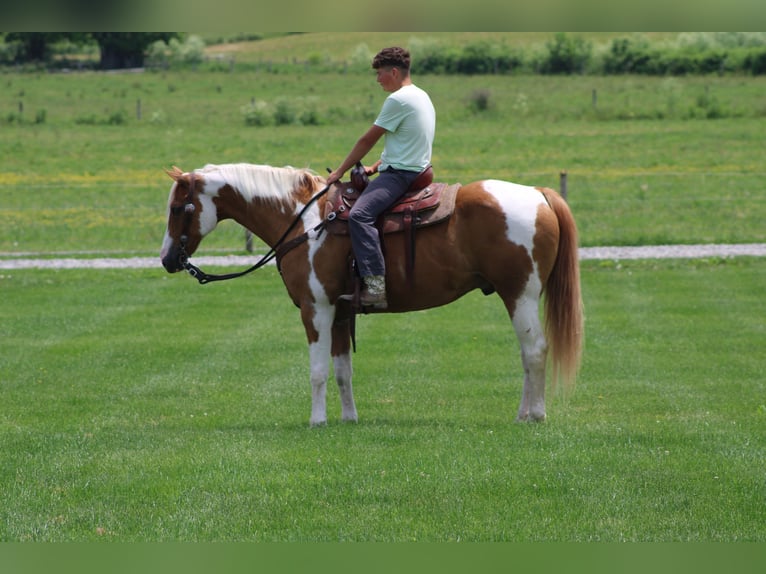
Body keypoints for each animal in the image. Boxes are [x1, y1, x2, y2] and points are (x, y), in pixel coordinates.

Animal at [160, 163, 583, 426]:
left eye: (180, 207)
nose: (167, 259)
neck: (305, 222)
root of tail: (539, 195)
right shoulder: (340, 313)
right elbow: (342, 371)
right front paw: (348, 419)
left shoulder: (316, 310)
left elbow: (317, 371)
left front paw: (317, 420)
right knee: (526, 356)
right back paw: (522, 413)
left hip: (520, 295)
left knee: (535, 351)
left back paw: (535, 415)